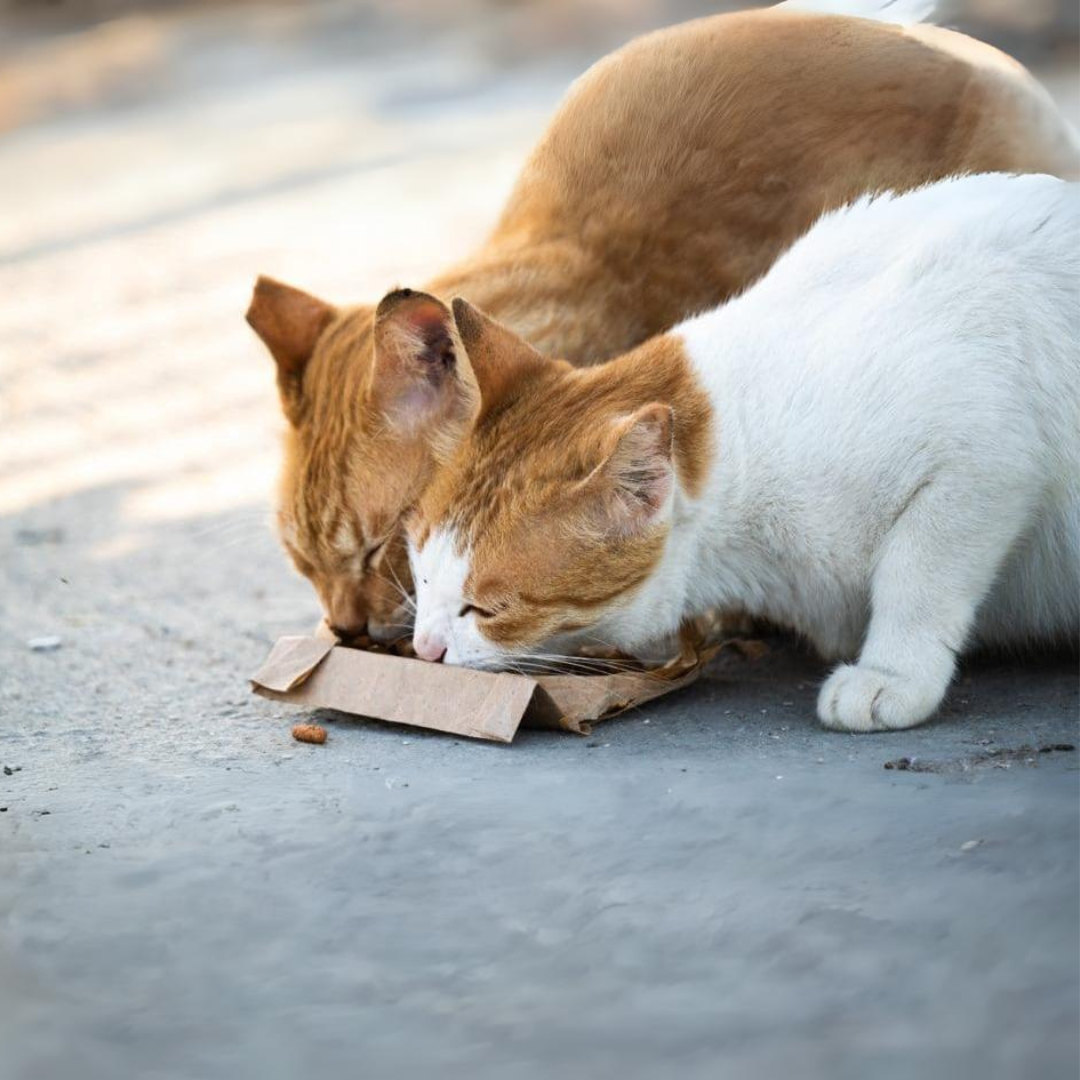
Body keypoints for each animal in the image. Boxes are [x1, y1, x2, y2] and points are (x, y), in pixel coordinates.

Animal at [406, 174, 1080, 734]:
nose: (423, 650)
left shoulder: (984, 448)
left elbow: (917, 573)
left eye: (487, 608)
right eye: (421, 570)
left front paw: (894, 673)